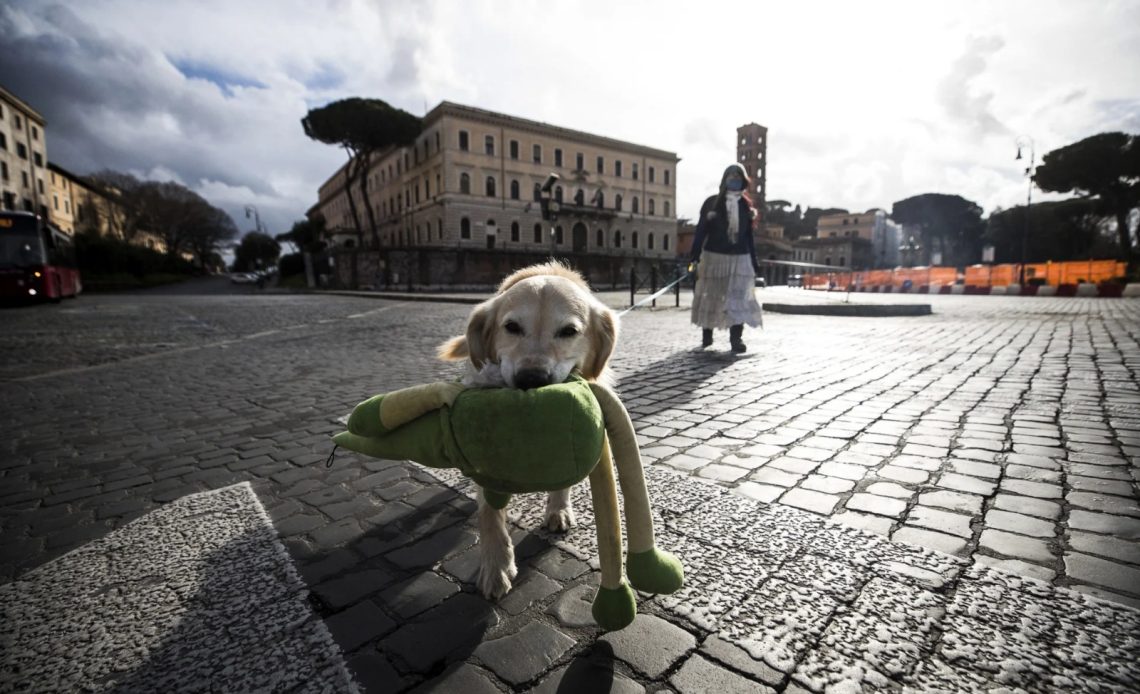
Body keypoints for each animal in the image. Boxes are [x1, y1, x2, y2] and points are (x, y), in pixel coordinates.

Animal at [437, 259, 620, 597]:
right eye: (511, 327)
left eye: (569, 331)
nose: (531, 379)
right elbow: (489, 512)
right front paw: (496, 566)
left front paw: (558, 509)